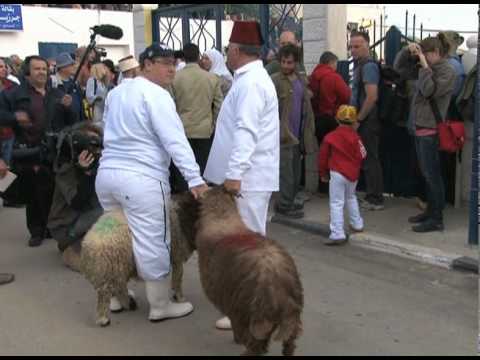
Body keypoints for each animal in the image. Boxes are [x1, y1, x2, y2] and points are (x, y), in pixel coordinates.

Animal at [79, 193, 198, 328]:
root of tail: (89, 246)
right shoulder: (177, 254)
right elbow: (178, 279)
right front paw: (181, 298)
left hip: (111, 270)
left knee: (115, 289)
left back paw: (123, 303)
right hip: (115, 266)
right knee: (108, 294)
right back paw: (106, 318)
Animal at [195, 187, 304, 356]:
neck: (221, 217)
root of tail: (277, 282)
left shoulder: (229, 302)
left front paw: (236, 339)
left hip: (250, 314)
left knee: (256, 345)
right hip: (291, 317)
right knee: (289, 344)